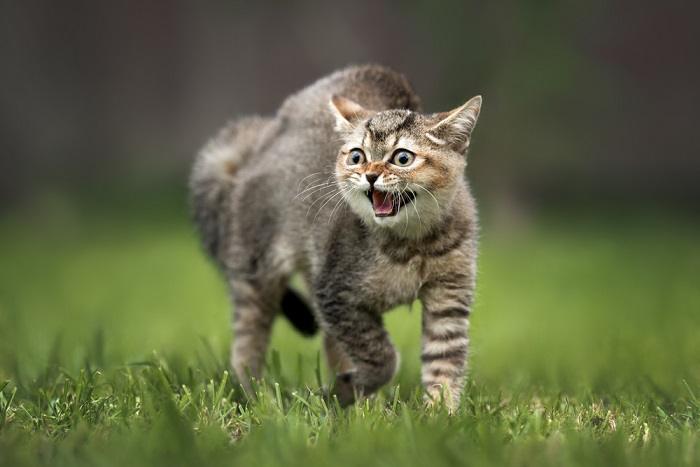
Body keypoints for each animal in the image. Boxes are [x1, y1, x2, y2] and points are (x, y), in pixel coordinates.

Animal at [190, 65, 482, 410]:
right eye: (357, 157)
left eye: (402, 158)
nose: (370, 175)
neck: (408, 244)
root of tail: (264, 138)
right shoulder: (336, 295)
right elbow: (383, 358)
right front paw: (347, 388)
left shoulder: (449, 298)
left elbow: (444, 363)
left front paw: (439, 414)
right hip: (257, 269)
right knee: (246, 347)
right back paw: (259, 401)